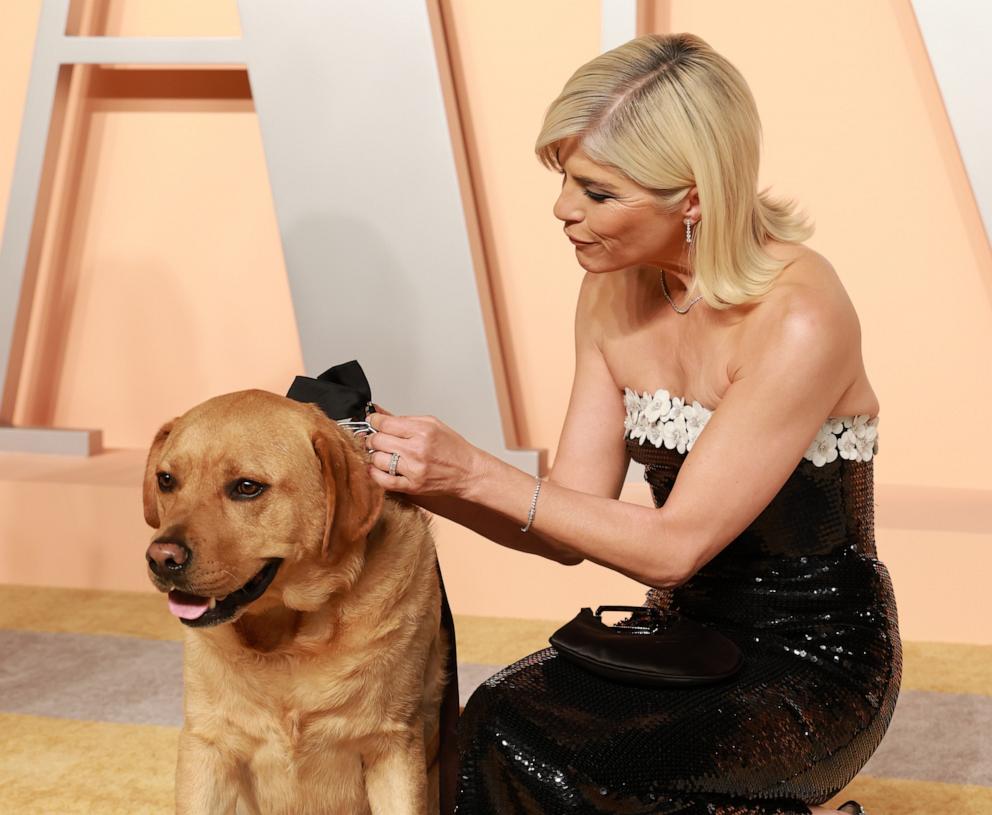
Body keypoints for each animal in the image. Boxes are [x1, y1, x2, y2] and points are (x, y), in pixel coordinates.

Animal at [141, 392, 452, 812]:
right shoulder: (206, 745)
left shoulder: (394, 746)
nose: (162, 558)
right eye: (166, 480)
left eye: (247, 487)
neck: (288, 640)